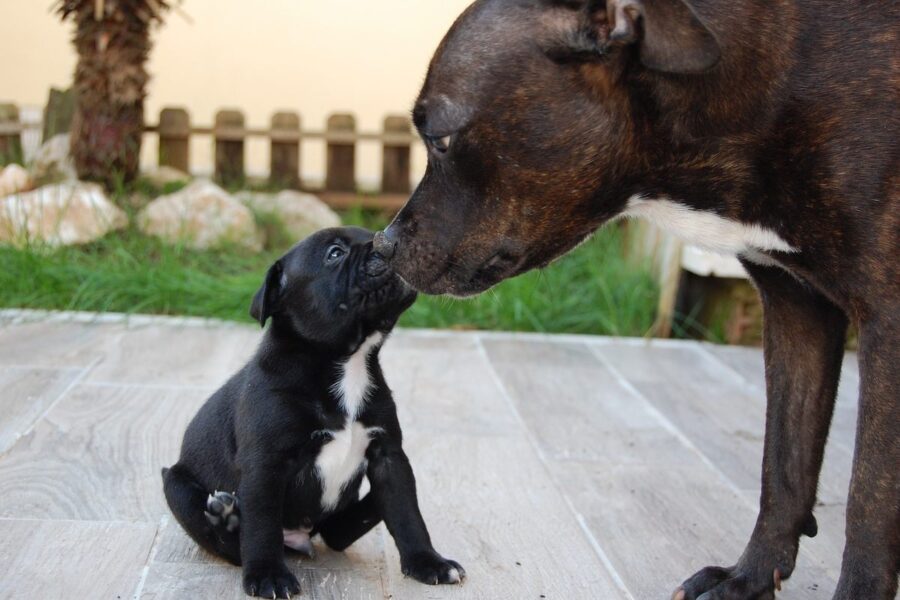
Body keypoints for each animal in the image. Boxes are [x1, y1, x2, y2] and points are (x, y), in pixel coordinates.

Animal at [163, 227, 468, 596]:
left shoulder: (388, 456)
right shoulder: (265, 465)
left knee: (341, 531)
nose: (385, 242)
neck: (346, 361)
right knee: (230, 544)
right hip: (176, 485)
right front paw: (268, 575)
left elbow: (407, 513)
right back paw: (226, 516)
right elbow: (261, 526)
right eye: (334, 254)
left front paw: (428, 562)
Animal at [372, 1, 900, 600]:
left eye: (439, 139)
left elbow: (869, 499)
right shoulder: (797, 310)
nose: (383, 244)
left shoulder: (887, 325)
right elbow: (783, 465)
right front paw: (746, 578)